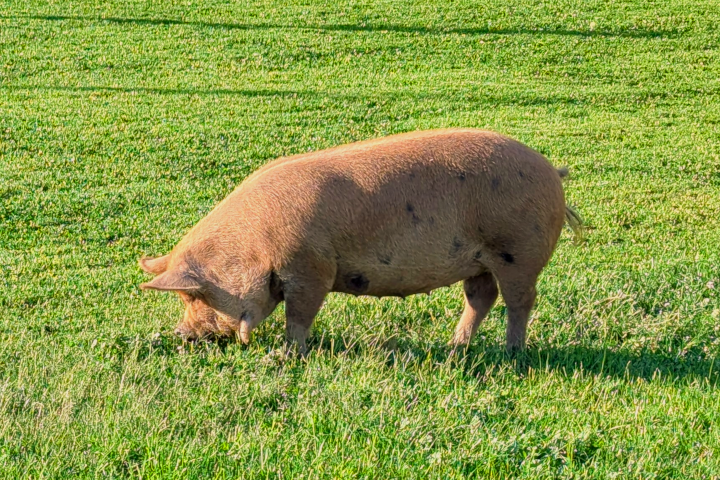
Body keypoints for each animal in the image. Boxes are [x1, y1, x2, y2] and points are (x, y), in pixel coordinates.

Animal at [139, 128, 581, 353]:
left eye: (194, 296)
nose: (181, 334)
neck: (254, 247)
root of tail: (552, 171)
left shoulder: (312, 269)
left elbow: (298, 317)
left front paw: (289, 354)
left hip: (518, 251)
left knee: (520, 301)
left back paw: (513, 355)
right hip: (481, 260)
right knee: (480, 297)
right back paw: (455, 348)